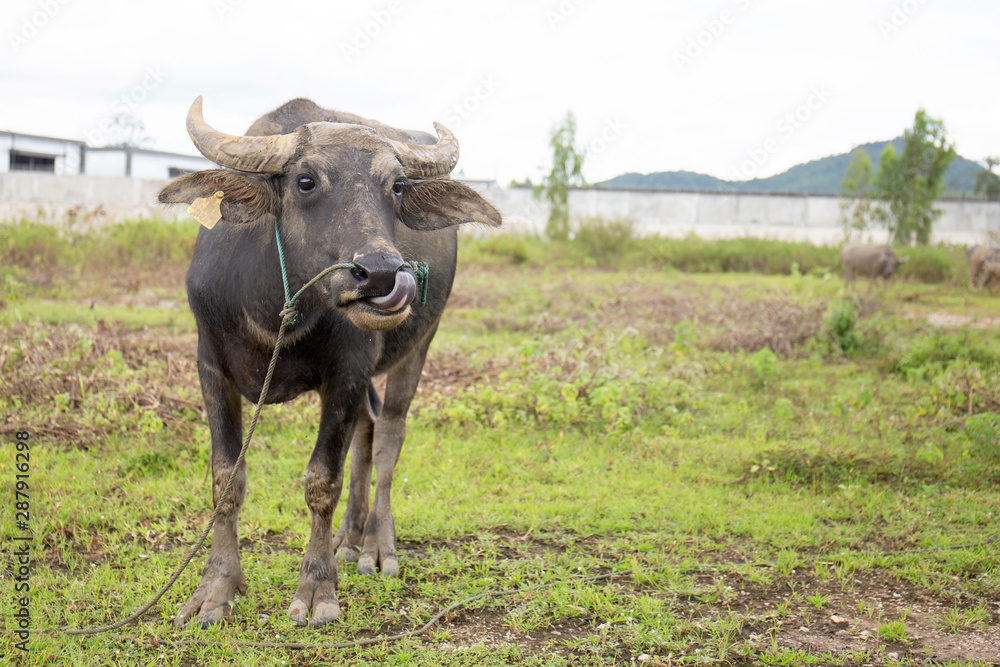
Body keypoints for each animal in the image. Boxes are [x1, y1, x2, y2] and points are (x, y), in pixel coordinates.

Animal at [162, 96, 500, 628]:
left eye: (396, 185)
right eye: (306, 180)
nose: (381, 273)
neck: (274, 306)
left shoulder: (346, 374)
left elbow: (323, 480)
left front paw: (318, 589)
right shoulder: (210, 367)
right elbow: (226, 477)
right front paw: (215, 591)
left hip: (419, 345)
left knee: (388, 438)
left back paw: (378, 546)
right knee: (366, 431)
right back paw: (349, 539)